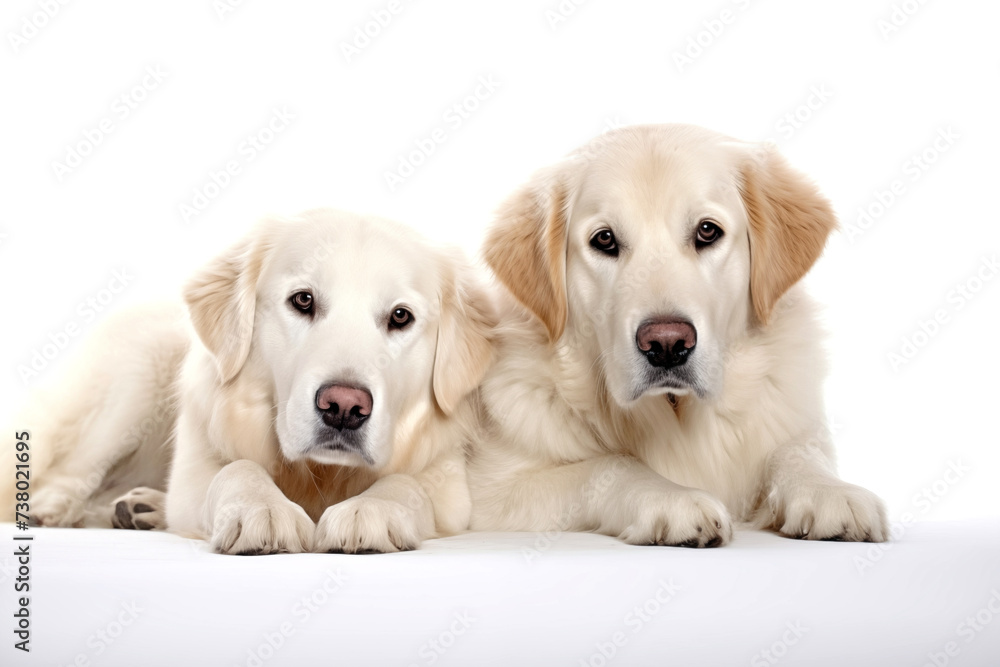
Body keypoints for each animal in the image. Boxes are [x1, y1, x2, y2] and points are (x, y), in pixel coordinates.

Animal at [4, 211, 492, 556]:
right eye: (303, 300)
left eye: (400, 317)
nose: (344, 407)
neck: (318, 473)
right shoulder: (195, 470)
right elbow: (236, 469)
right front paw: (263, 508)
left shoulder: (451, 492)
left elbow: (408, 485)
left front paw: (371, 508)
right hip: (140, 374)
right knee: (70, 468)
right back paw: (52, 508)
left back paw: (140, 507)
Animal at [468, 125, 892, 548]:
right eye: (604, 240)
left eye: (707, 231)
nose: (667, 344)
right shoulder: (495, 494)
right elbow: (609, 463)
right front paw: (671, 498)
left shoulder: (796, 423)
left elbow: (795, 451)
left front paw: (828, 491)